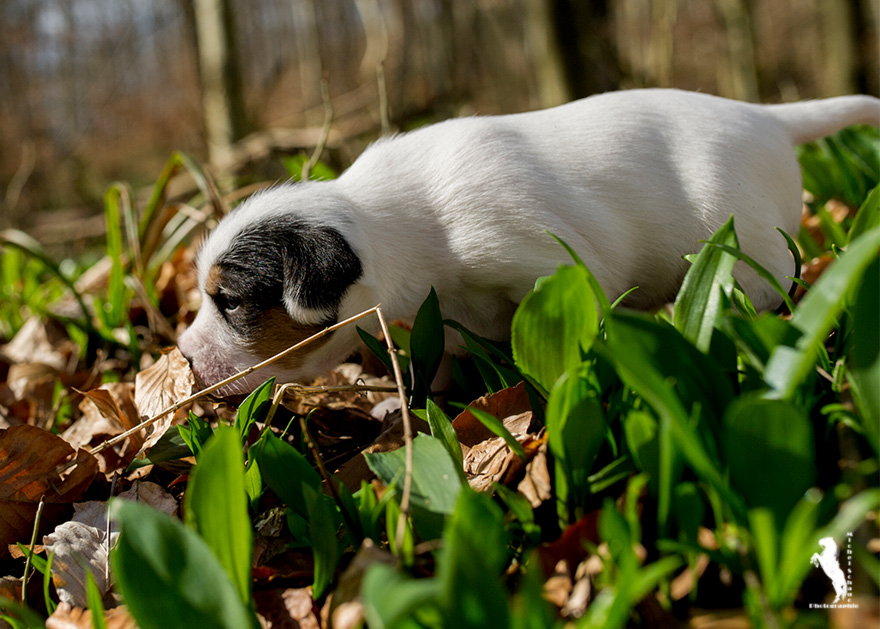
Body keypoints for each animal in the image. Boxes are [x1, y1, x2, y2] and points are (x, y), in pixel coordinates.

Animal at [175, 88, 876, 392]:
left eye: (230, 301)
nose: (180, 357)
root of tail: (766, 117)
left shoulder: (548, 266)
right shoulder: (441, 324)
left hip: (749, 247)